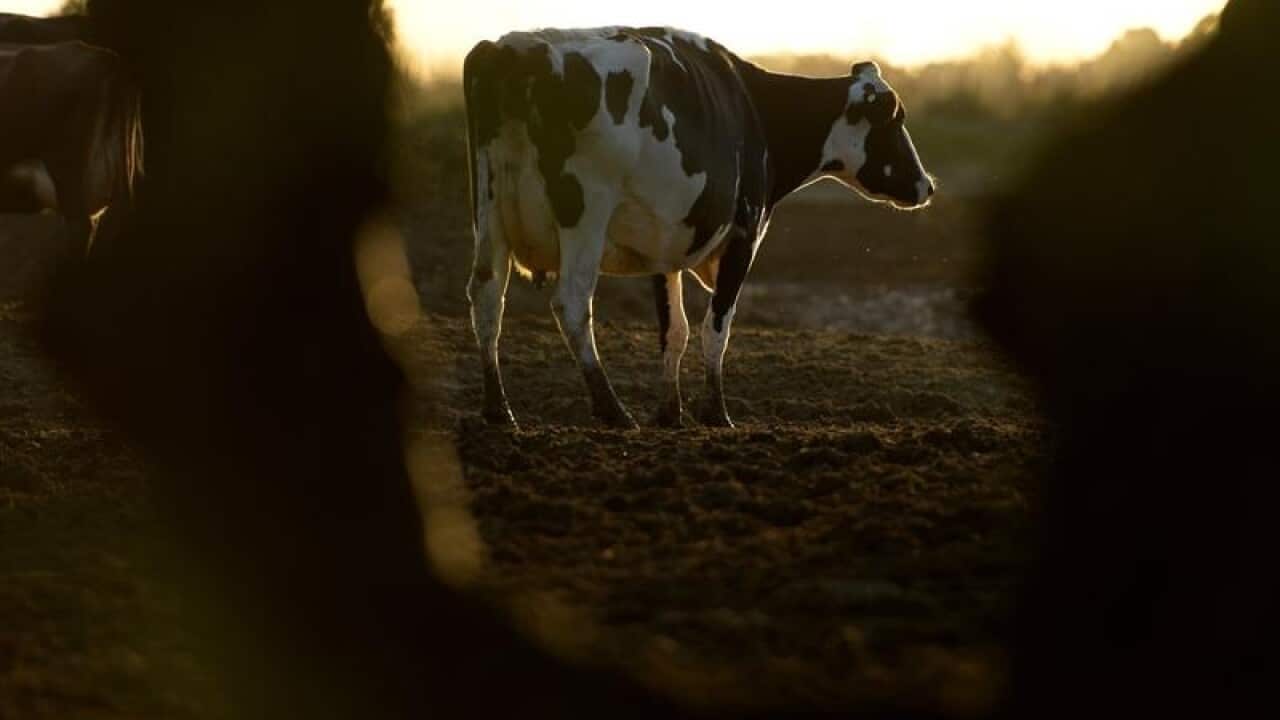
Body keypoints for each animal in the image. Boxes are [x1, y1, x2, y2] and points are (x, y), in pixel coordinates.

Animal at [464, 27, 934, 429]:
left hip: (488, 211)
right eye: (895, 120)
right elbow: (715, 328)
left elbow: (675, 331)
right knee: (572, 304)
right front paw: (716, 412)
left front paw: (670, 413)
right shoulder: (744, 236)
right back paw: (612, 409)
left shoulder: (664, 244)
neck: (756, 111)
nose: (926, 185)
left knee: (487, 296)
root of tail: (516, 49)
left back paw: (498, 409)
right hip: (585, 215)